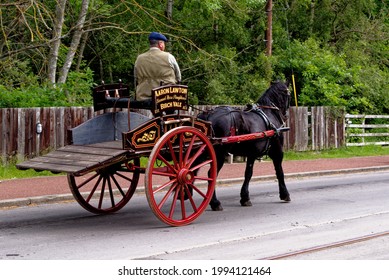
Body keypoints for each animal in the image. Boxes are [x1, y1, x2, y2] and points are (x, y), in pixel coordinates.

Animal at [197, 80, 292, 210]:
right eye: (289, 94)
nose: (286, 115)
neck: (268, 114)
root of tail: (208, 115)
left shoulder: (251, 154)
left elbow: (248, 173)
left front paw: (244, 197)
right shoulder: (276, 151)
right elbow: (279, 172)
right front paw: (284, 194)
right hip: (219, 154)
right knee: (211, 174)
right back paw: (215, 202)